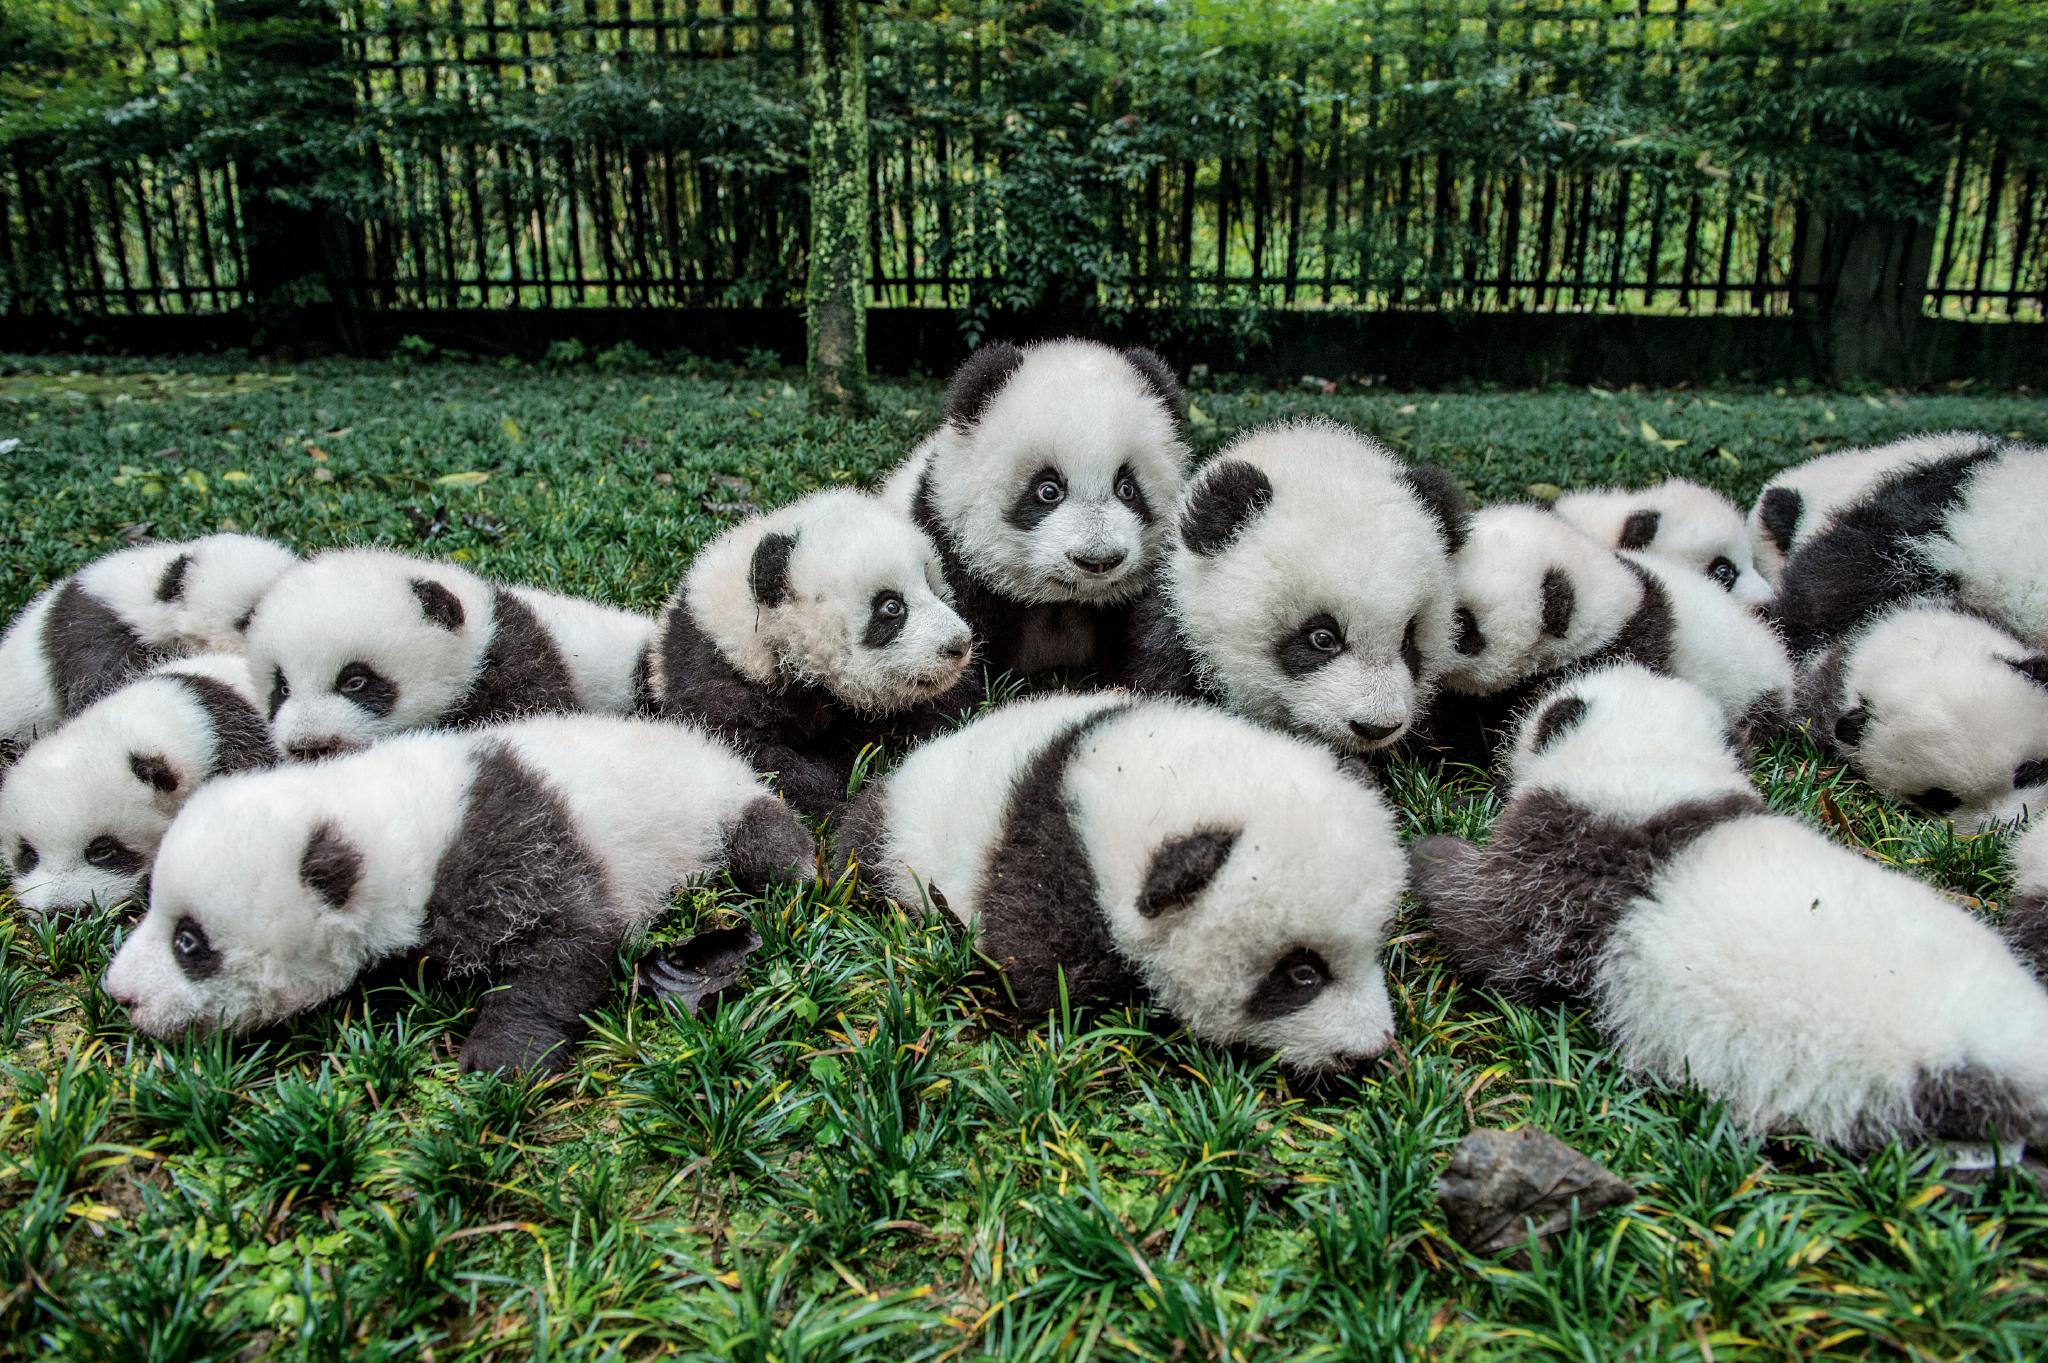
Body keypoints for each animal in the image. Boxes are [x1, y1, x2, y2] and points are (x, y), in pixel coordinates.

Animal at [101, 714, 815, 1075]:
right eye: (150, 908)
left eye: (189, 941)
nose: (120, 994)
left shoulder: (513, 847)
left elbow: (568, 943)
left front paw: (499, 1059)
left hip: (706, 804)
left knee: (762, 840)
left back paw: (799, 869)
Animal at [648, 489, 976, 816]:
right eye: (892, 606)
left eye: (932, 588)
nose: (959, 644)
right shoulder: (715, 676)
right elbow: (757, 757)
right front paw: (828, 798)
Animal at [834, 693, 1406, 1072]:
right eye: (1302, 974)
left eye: (1375, 947)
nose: (1373, 1047)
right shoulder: (1054, 865)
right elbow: (1036, 973)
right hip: (902, 839)